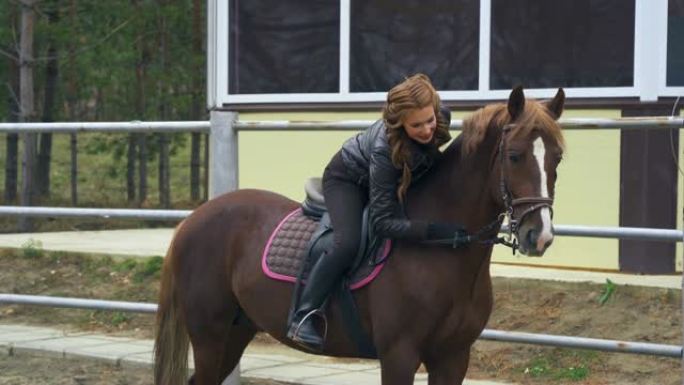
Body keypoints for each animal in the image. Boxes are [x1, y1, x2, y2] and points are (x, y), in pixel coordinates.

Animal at [155, 87, 568, 384]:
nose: (539, 235)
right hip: (209, 334)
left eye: (558, 157)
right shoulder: (399, 355)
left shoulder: (453, 358)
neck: (444, 258)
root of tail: (194, 219)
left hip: (236, 332)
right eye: (514, 155)